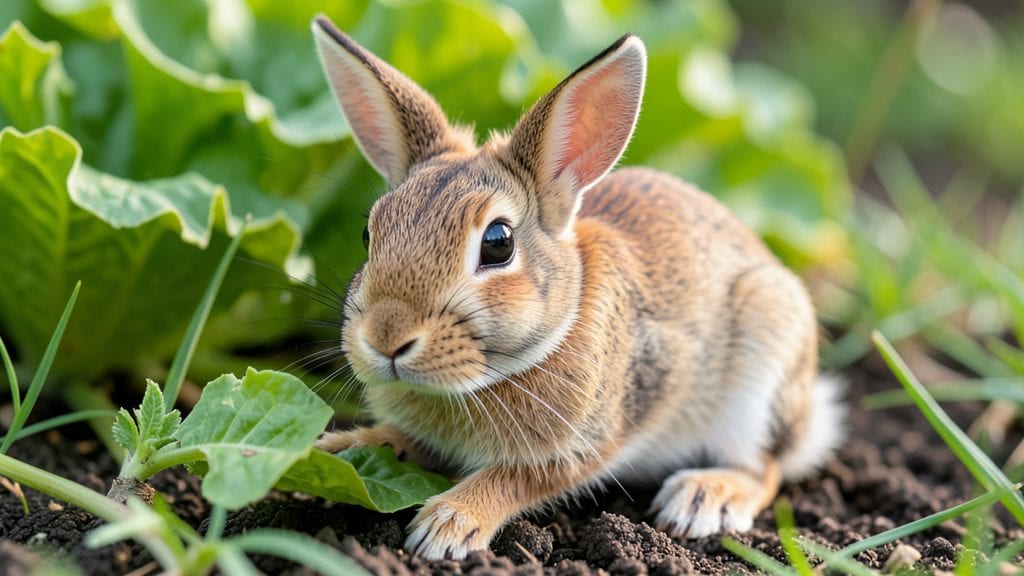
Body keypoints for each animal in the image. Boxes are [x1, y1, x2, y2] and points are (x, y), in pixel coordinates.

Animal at [311, 15, 844, 561]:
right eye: (368, 233)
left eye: (498, 244)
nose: (386, 339)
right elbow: (400, 440)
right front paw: (332, 449)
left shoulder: (591, 440)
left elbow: (514, 479)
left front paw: (447, 525)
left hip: (761, 366)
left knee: (766, 469)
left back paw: (701, 498)